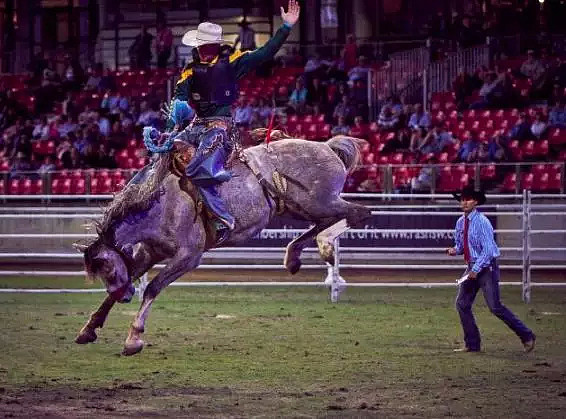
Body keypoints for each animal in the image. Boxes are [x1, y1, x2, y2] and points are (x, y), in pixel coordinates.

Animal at [74, 130, 372, 354]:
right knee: (331, 219)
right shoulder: (150, 252)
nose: (125, 297)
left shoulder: (189, 256)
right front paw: (88, 330)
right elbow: (129, 279)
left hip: (319, 202)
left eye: (108, 267)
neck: (161, 204)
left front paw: (134, 339)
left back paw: (324, 246)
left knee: (358, 212)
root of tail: (326, 147)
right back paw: (293, 256)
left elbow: (153, 288)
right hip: (297, 207)